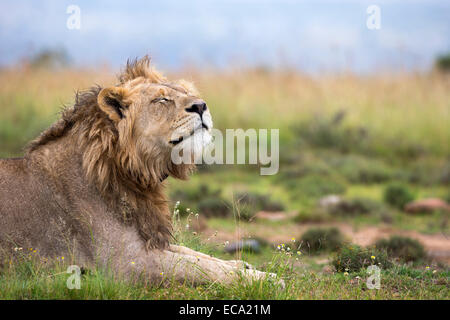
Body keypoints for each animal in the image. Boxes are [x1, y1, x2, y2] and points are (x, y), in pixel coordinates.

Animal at [0, 57, 278, 288]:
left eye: (187, 93)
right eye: (162, 100)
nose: (201, 105)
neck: (132, 172)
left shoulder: (150, 239)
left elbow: (196, 255)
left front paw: (244, 265)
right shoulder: (125, 262)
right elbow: (198, 267)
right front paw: (264, 279)